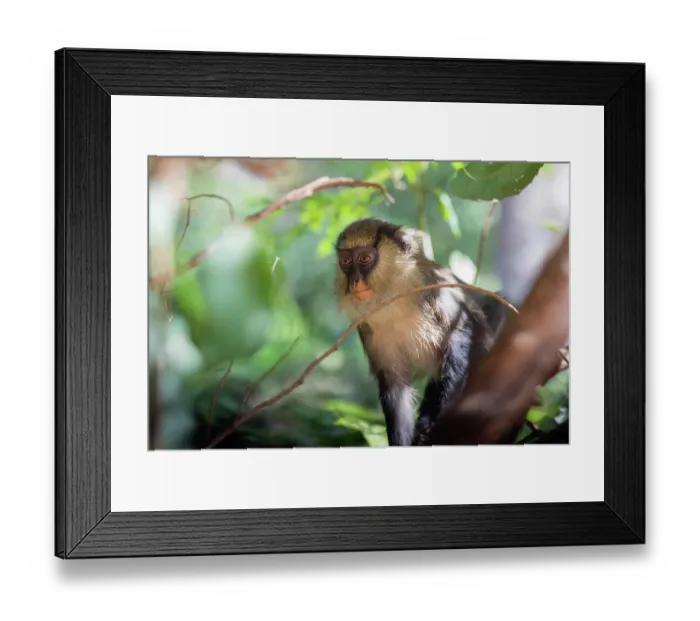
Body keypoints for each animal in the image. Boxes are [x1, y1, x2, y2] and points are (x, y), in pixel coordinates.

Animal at [334, 218, 497, 447]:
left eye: (364, 258)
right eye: (346, 262)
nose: (355, 281)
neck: (393, 296)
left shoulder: (433, 286)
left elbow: (460, 330)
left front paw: (432, 424)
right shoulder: (366, 326)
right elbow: (395, 385)